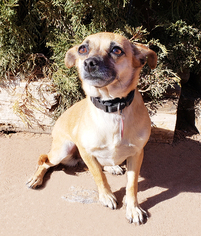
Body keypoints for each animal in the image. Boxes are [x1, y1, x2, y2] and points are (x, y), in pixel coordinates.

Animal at [26, 32, 157, 224]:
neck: (112, 107)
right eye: (82, 49)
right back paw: (36, 178)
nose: (89, 63)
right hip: (62, 150)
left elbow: (132, 185)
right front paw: (107, 196)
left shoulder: (137, 154)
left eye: (117, 50)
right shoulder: (86, 152)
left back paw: (112, 167)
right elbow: (98, 175)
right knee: (45, 161)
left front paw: (133, 208)